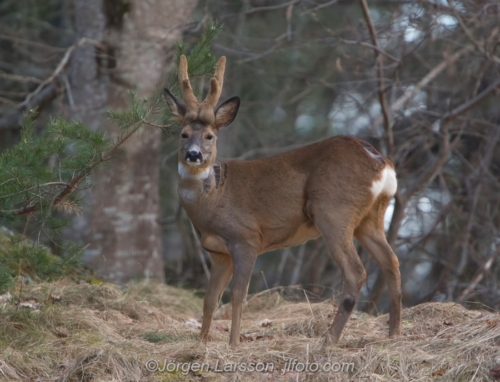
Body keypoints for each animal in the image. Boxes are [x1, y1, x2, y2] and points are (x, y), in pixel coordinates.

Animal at [164, 56, 402, 346]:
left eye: (210, 136)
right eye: (183, 134)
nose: (194, 155)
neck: (213, 198)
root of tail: (382, 163)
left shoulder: (246, 238)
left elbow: (238, 296)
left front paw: (234, 343)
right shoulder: (218, 252)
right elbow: (210, 300)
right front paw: (202, 343)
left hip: (333, 211)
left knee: (356, 272)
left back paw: (329, 339)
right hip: (370, 217)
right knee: (392, 262)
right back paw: (393, 334)